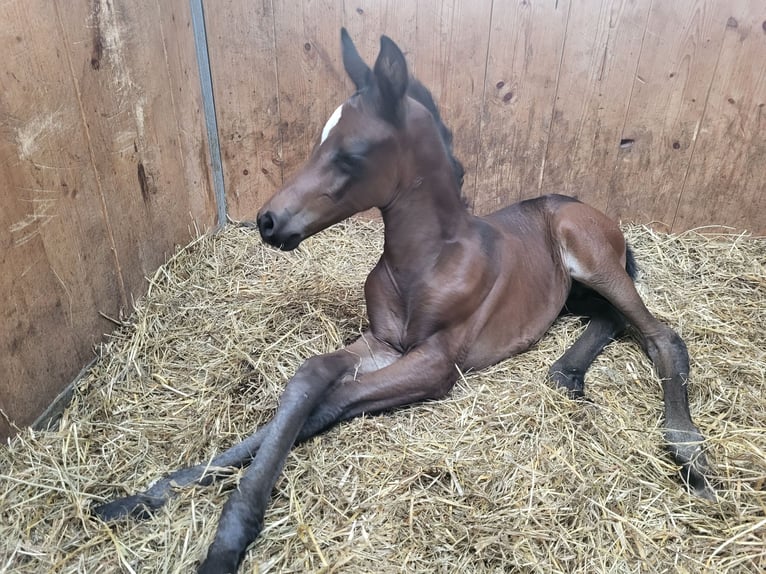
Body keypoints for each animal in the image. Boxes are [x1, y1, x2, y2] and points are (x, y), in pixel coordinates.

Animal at [94, 28, 712, 574]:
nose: (268, 221)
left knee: (661, 335)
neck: (425, 263)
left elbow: (330, 403)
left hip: (590, 256)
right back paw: (566, 372)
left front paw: (228, 540)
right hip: (574, 294)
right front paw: (140, 497)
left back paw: (689, 453)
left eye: (352, 154)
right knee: (613, 320)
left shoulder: (436, 362)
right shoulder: (381, 342)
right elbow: (308, 381)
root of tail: (587, 207)